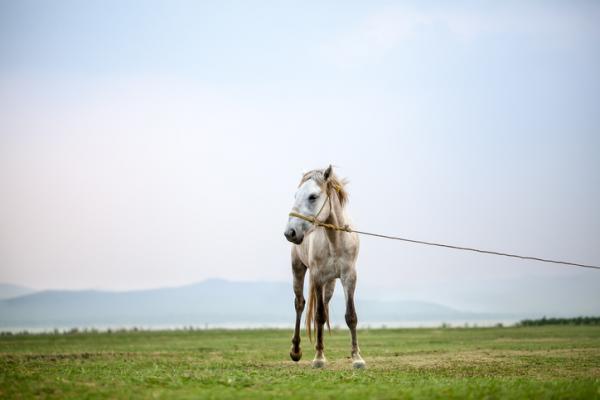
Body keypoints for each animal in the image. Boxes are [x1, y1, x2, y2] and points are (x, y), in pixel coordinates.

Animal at [282, 165, 366, 368]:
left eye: (313, 196)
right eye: (295, 195)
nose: (290, 232)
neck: (335, 240)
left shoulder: (349, 277)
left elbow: (350, 316)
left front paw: (357, 358)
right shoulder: (317, 276)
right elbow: (318, 316)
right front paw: (319, 357)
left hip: (330, 284)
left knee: (325, 306)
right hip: (299, 269)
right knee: (300, 304)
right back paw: (296, 350)